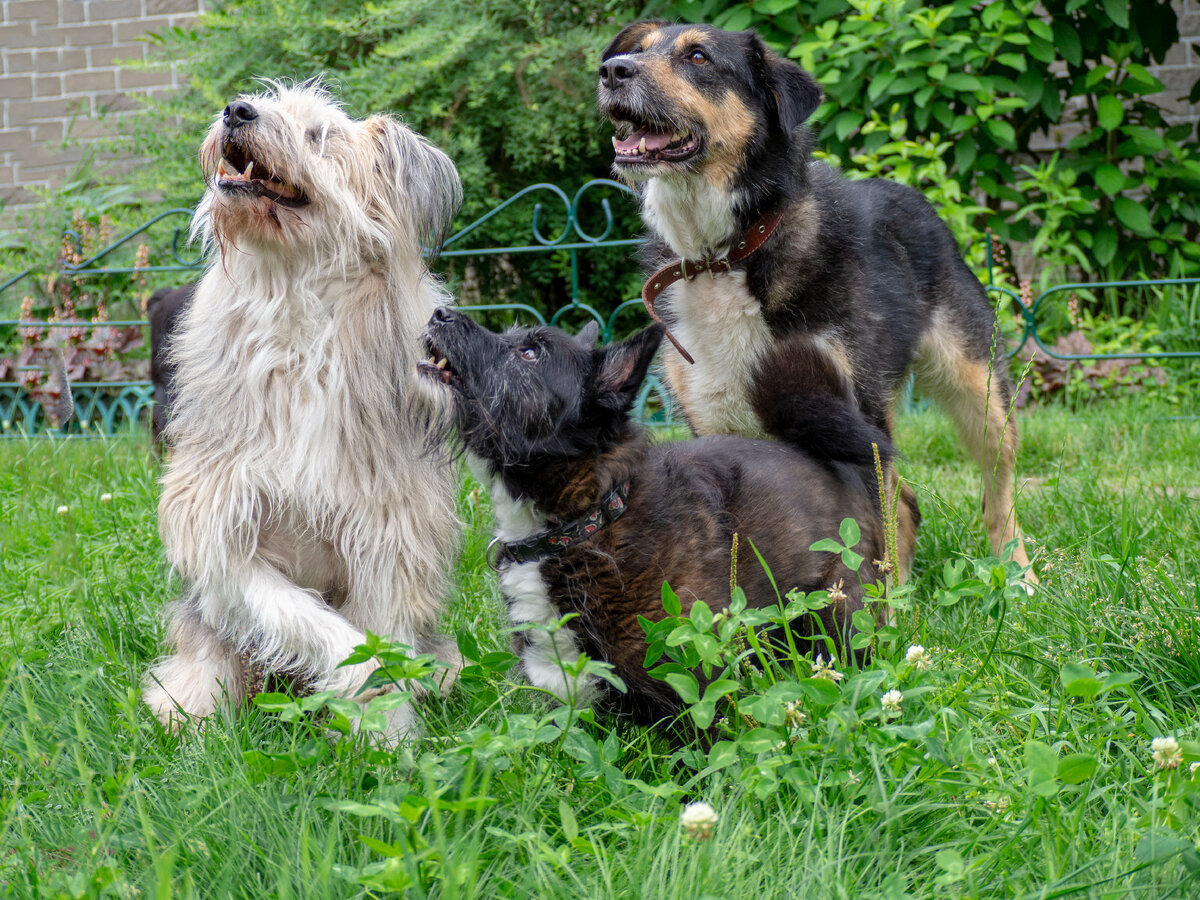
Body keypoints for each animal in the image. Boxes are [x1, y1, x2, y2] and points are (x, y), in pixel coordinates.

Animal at [140, 82, 458, 739]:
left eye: (318, 134)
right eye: (254, 104)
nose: (237, 111)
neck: (295, 315)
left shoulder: (390, 535)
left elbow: (380, 632)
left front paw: (384, 730)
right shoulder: (216, 531)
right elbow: (304, 618)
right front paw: (365, 686)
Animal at [595, 22, 1036, 585]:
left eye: (698, 57)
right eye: (639, 48)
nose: (613, 70)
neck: (727, 255)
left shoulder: (854, 421)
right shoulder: (714, 420)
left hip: (979, 391)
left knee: (995, 493)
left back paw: (1019, 577)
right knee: (907, 504)